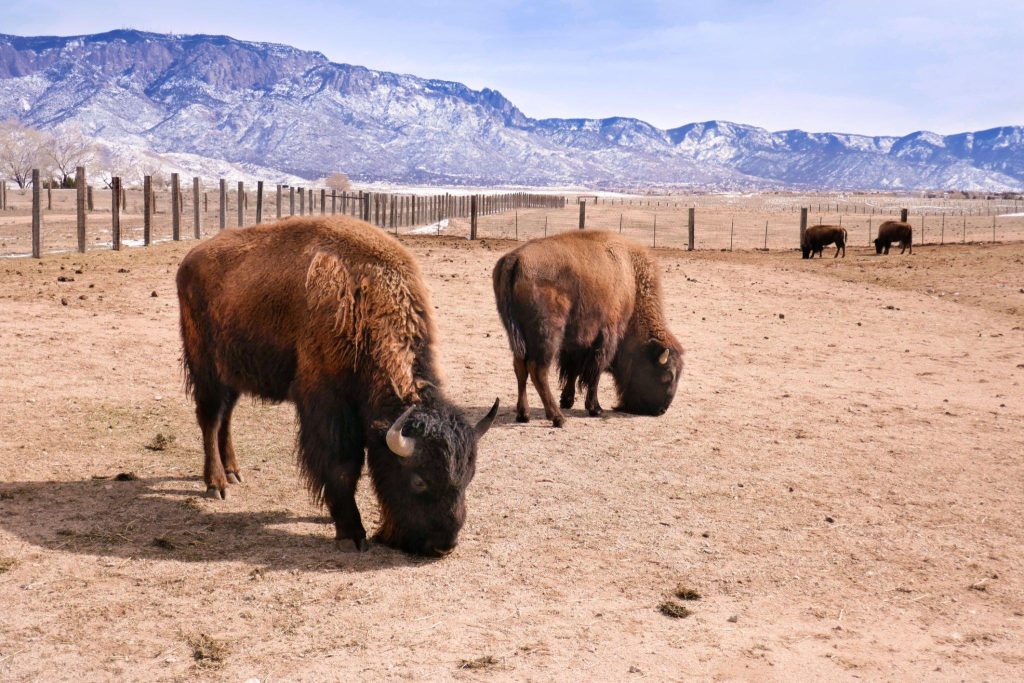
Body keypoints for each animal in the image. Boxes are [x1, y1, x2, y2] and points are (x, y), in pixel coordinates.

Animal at [179, 216, 499, 557]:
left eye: (468, 477)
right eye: (418, 480)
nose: (443, 546)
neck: (365, 300)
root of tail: (190, 258)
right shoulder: (328, 405)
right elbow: (343, 466)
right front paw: (351, 533)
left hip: (234, 374)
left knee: (226, 417)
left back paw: (233, 472)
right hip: (205, 368)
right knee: (211, 419)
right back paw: (216, 484)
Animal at [491, 232, 684, 430]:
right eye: (666, 376)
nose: (660, 410)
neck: (632, 281)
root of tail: (515, 259)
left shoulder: (576, 342)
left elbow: (573, 370)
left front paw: (567, 400)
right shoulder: (606, 336)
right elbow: (595, 371)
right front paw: (595, 408)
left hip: (518, 337)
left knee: (520, 367)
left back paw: (524, 414)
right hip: (547, 336)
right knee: (538, 370)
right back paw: (557, 418)